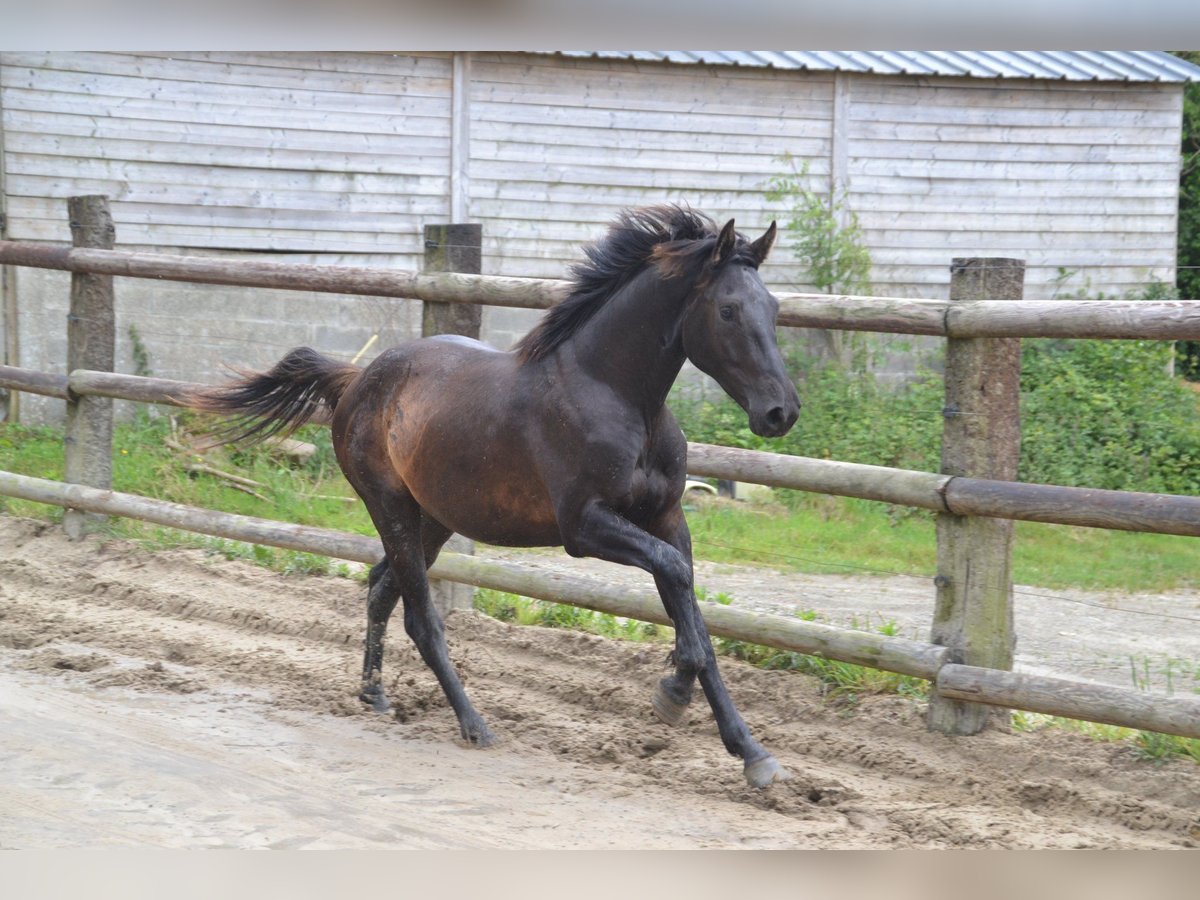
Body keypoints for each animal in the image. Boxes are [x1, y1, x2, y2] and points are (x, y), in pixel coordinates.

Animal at [194, 207, 796, 787]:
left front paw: (752, 754)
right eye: (728, 310)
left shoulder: (668, 519)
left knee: (380, 587)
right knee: (420, 616)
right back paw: (474, 724)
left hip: (433, 518)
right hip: (389, 507)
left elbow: (692, 607)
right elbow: (675, 579)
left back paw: (375, 694)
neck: (615, 395)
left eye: (772, 307)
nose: (780, 412)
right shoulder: (584, 526)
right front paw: (672, 693)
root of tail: (357, 380)